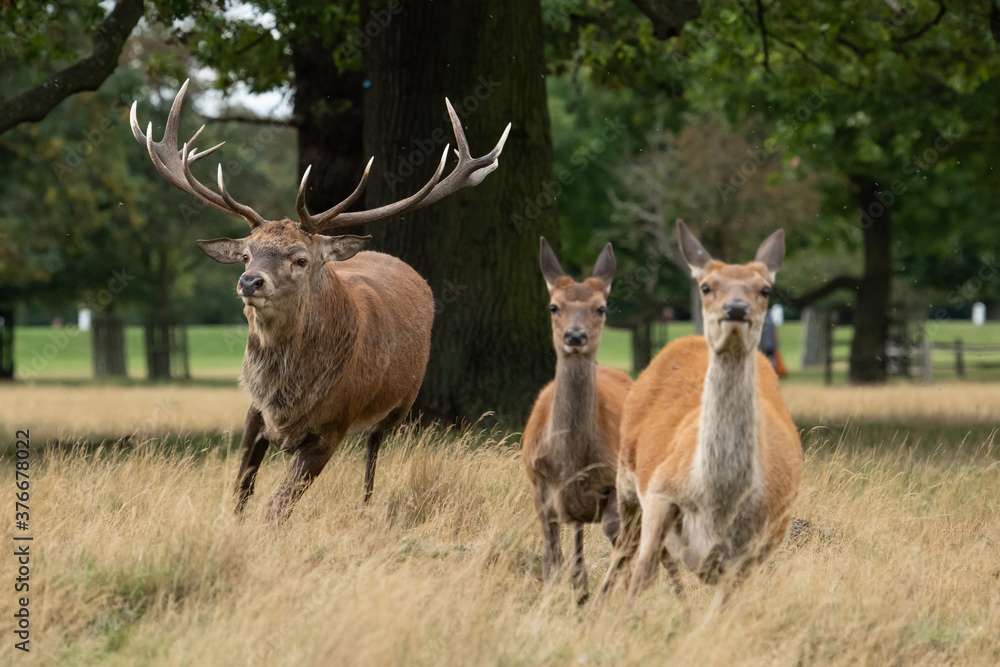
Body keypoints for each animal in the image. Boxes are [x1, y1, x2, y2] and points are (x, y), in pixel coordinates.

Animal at [130, 79, 510, 524]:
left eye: (300, 259)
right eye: (246, 254)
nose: (249, 281)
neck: (287, 401)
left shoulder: (334, 426)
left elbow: (277, 507)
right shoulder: (254, 413)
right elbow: (242, 489)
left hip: (402, 403)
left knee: (373, 454)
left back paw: (366, 506)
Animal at [522, 238, 634, 603]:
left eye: (601, 308)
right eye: (553, 306)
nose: (575, 336)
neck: (571, 461)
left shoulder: (613, 481)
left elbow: (616, 536)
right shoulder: (539, 482)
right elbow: (551, 556)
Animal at [594, 220, 802, 620]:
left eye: (765, 289)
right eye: (706, 285)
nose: (735, 308)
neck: (717, 506)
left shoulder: (766, 537)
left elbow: (726, 603)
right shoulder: (660, 489)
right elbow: (642, 572)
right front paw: (619, 624)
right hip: (625, 476)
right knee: (626, 548)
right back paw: (592, 604)